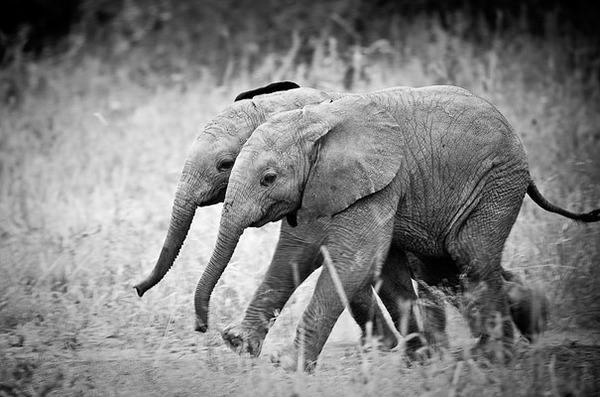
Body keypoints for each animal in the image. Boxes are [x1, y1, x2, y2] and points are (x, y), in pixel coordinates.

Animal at [195, 86, 596, 372]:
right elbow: (302, 254)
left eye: (268, 178)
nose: (202, 327)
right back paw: (522, 323)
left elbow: (350, 260)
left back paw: (494, 357)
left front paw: (287, 366)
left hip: (497, 181)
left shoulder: (379, 178)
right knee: (443, 269)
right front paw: (240, 345)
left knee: (471, 258)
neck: (313, 119)